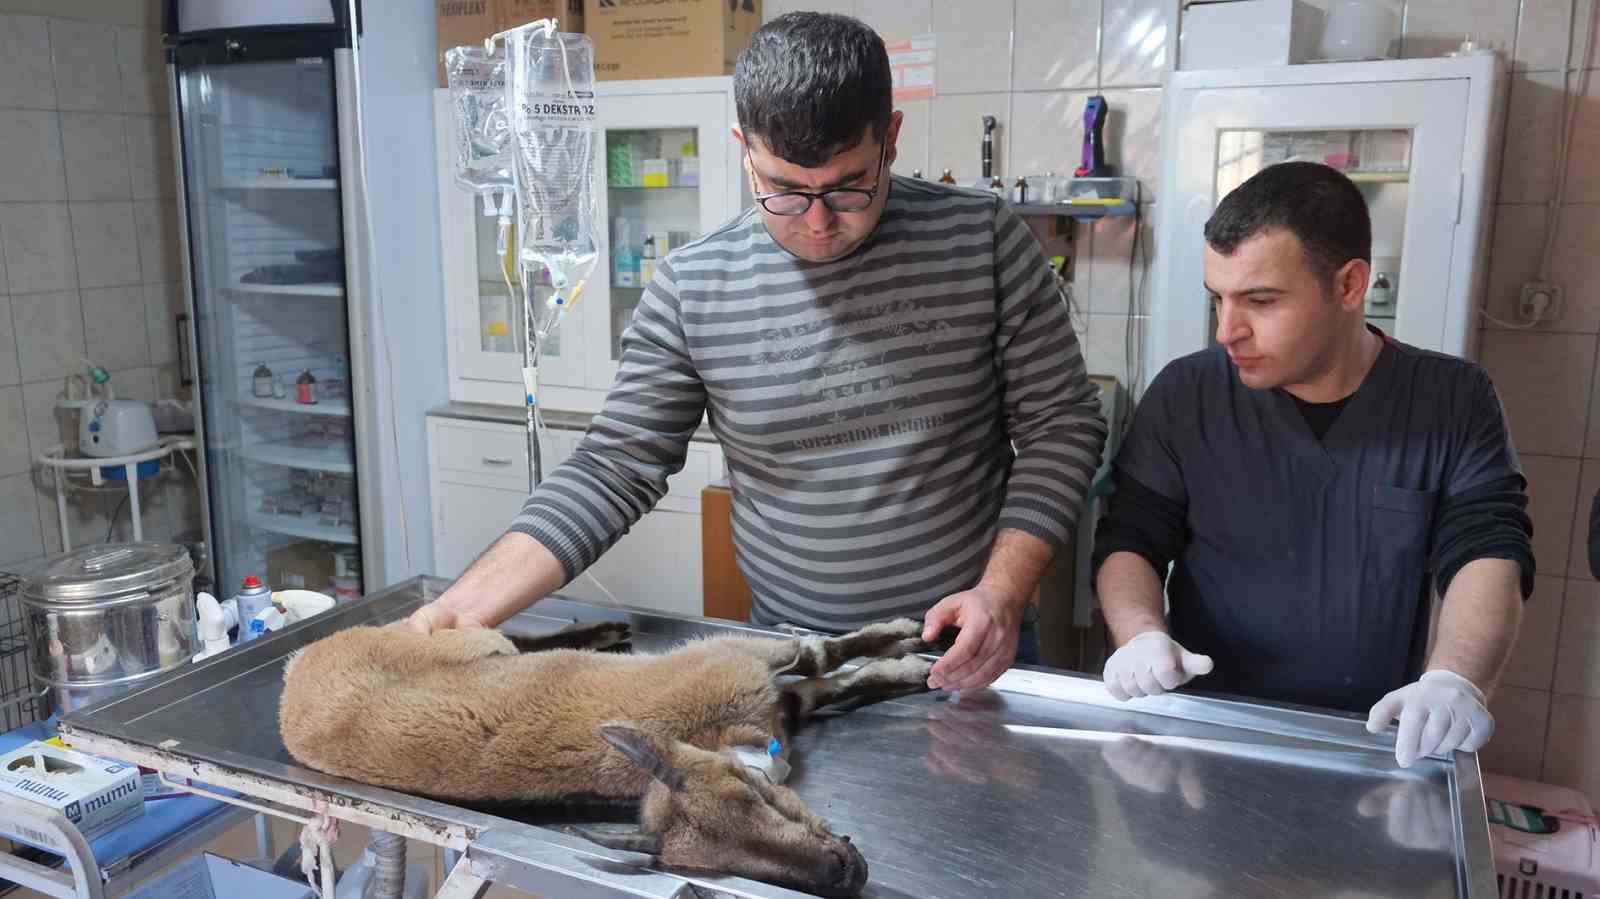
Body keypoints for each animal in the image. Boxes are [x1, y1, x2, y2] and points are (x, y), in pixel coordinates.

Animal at [278, 611, 934, 889]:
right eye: (713, 866)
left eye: (752, 792)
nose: (844, 871)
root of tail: (296, 669)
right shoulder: (748, 679)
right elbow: (825, 675)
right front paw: (906, 663)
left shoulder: (742, 660)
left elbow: (818, 657)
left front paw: (908, 644)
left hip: (462, 641)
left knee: (506, 638)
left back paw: (599, 634)